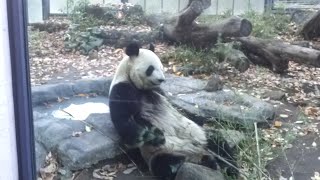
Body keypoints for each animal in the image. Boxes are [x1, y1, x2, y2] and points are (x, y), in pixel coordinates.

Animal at [109, 42, 239, 180]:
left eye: (161, 67)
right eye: (151, 69)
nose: (161, 79)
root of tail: (196, 150)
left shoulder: (159, 92)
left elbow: (178, 108)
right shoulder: (122, 90)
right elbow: (124, 121)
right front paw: (153, 135)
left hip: (201, 136)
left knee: (219, 143)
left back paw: (229, 168)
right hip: (163, 151)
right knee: (162, 164)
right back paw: (196, 162)